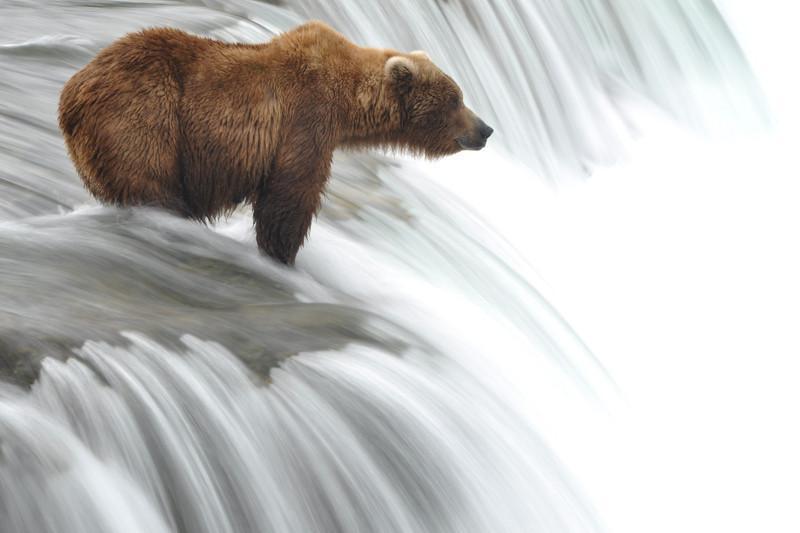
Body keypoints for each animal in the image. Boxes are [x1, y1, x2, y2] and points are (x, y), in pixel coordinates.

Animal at [58, 21, 493, 264]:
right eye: (455, 99)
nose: (486, 129)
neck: (348, 102)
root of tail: (70, 94)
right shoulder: (304, 120)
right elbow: (289, 197)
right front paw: (281, 255)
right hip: (145, 116)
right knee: (151, 184)